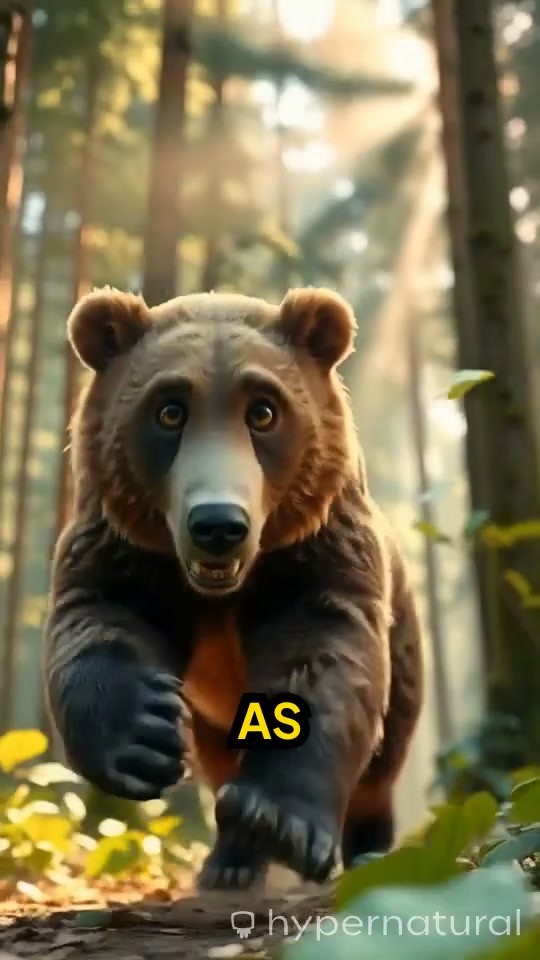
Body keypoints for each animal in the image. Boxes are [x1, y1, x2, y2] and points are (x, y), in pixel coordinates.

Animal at [43, 285, 424, 889]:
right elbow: (99, 621)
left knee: (382, 763)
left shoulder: (317, 552)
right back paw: (230, 863)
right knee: (220, 763)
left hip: (405, 642)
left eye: (263, 411)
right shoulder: (126, 549)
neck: (222, 594)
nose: (218, 523)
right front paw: (141, 738)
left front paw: (281, 819)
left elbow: (323, 658)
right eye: (170, 410)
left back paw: (368, 851)